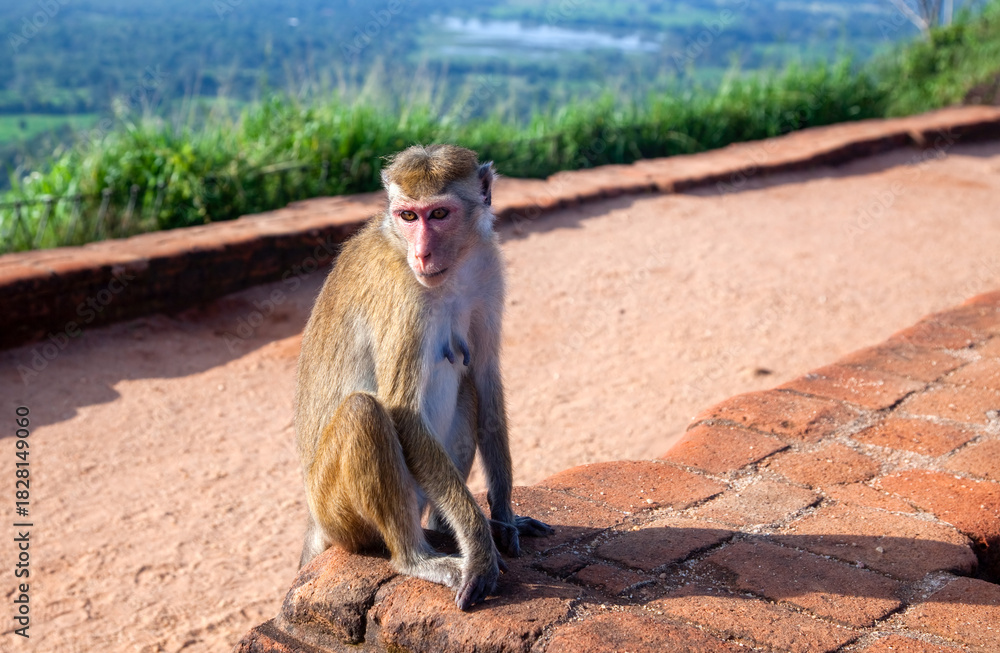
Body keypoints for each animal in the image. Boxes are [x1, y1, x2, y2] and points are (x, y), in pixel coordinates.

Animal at [294, 144, 553, 610]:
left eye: (439, 214)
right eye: (408, 216)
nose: (422, 255)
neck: (454, 269)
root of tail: (314, 521)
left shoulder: (488, 270)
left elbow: (485, 377)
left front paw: (504, 517)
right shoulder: (404, 293)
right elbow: (402, 411)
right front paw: (480, 545)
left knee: (466, 389)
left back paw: (445, 528)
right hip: (336, 511)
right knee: (365, 412)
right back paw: (416, 557)